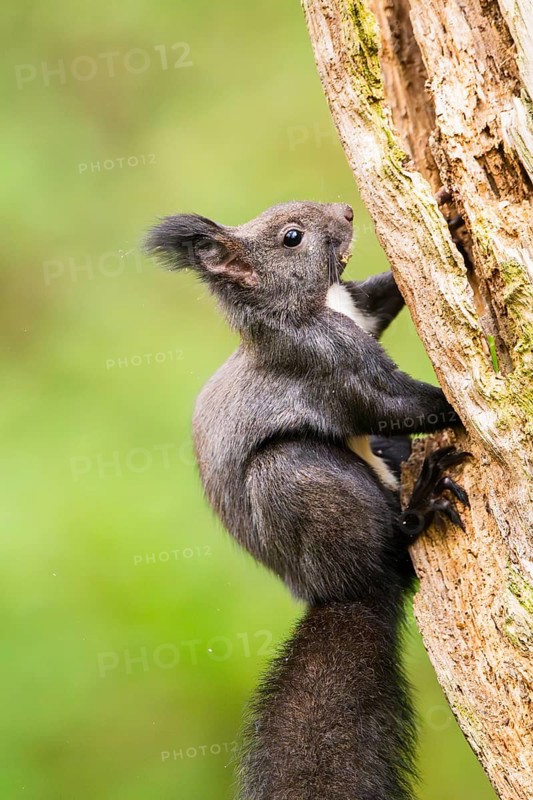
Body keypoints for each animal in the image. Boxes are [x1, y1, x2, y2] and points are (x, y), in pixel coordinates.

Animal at [146, 201, 469, 800]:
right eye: (291, 238)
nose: (346, 210)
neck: (312, 306)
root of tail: (337, 591)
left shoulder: (358, 308)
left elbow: (379, 296)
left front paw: (450, 221)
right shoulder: (327, 363)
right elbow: (397, 405)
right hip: (300, 482)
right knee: (388, 547)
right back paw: (421, 504)